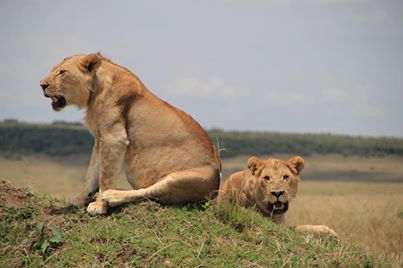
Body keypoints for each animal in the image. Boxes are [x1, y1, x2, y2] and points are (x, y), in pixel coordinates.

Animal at [40, 52, 221, 216]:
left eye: (62, 72)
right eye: (53, 70)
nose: (41, 84)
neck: (94, 91)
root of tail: (216, 189)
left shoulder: (114, 138)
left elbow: (105, 175)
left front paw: (99, 205)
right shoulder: (100, 139)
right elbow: (92, 171)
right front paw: (82, 198)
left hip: (182, 178)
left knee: (149, 193)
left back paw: (111, 196)